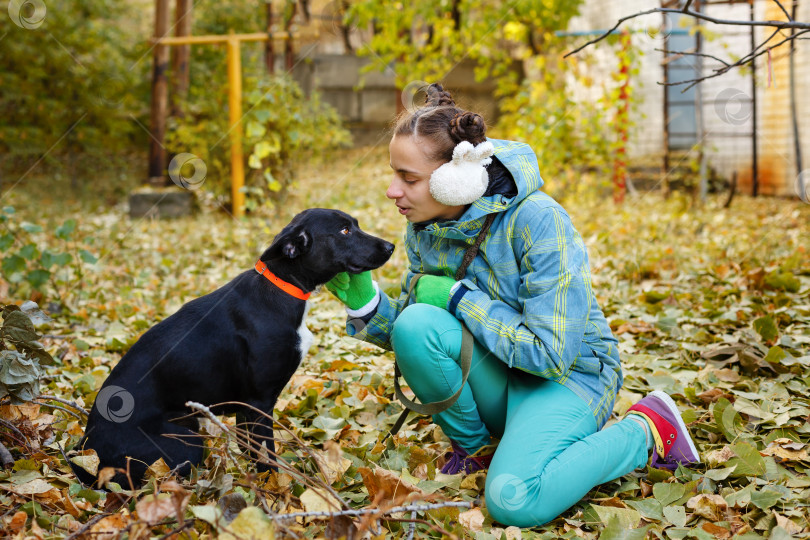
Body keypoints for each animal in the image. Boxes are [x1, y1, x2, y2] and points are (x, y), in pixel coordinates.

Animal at [71, 209, 392, 488]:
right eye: (345, 231)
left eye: (354, 224)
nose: (390, 246)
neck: (282, 287)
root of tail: (85, 451)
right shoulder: (260, 402)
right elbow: (266, 456)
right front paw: (276, 489)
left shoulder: (246, 405)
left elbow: (250, 449)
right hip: (184, 443)